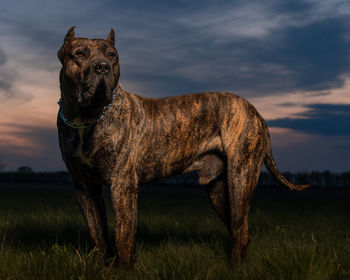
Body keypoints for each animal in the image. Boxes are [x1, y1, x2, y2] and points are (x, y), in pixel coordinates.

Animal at [56, 26, 308, 266]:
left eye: (112, 55)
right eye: (80, 54)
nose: (102, 67)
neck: (87, 118)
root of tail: (255, 111)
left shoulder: (122, 185)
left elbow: (123, 237)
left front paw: (124, 269)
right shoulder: (85, 187)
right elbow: (99, 235)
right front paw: (106, 266)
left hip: (241, 178)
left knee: (240, 229)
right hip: (219, 189)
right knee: (240, 231)